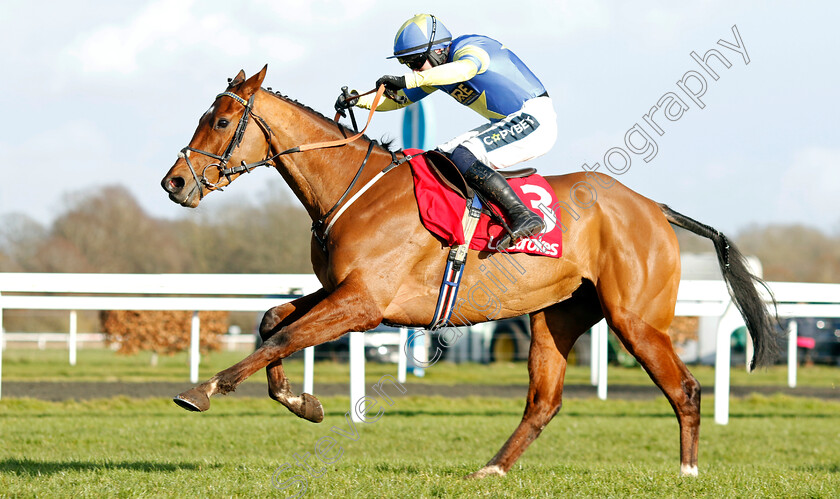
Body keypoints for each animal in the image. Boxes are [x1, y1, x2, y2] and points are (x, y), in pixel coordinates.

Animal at [161, 64, 776, 478]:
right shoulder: (341, 291)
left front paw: (205, 389)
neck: (353, 189)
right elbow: (272, 321)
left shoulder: (364, 304)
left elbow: (281, 337)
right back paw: (493, 468)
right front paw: (300, 401)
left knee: (686, 388)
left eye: (221, 121)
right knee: (543, 402)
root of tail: (654, 207)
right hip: (557, 317)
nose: (174, 182)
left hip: (637, 319)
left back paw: (687, 472)